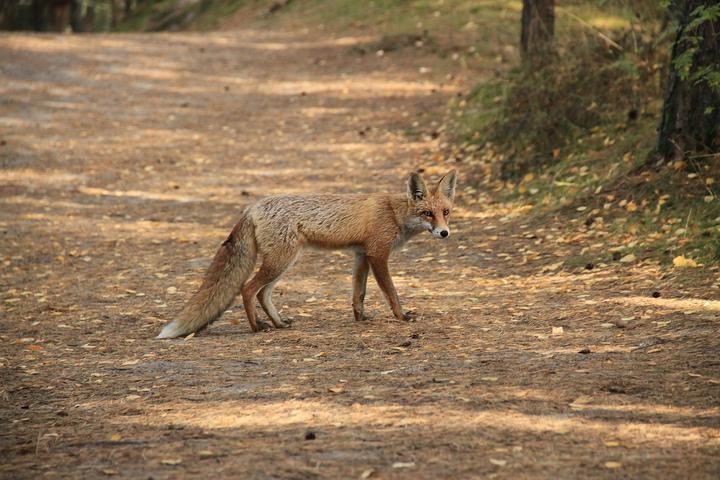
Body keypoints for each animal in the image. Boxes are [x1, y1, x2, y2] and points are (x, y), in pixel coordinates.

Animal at [158, 169, 458, 338]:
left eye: (446, 212)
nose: (445, 233)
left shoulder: (360, 255)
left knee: (263, 293)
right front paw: (402, 317)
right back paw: (257, 328)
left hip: (285, 261)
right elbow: (391, 292)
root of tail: (253, 206)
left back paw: (279, 323)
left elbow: (358, 293)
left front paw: (360, 319)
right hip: (281, 260)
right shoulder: (378, 254)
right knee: (248, 288)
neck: (394, 213)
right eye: (427, 213)